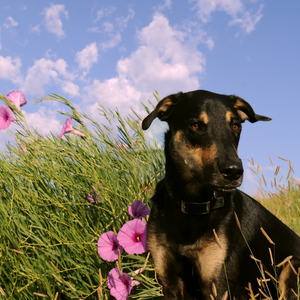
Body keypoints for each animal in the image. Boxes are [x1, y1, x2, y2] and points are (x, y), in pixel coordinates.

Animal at [142, 89, 300, 300]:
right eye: (195, 125)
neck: (193, 205)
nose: (233, 171)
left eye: (235, 126)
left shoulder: (218, 283)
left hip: (291, 267)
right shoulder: (170, 282)